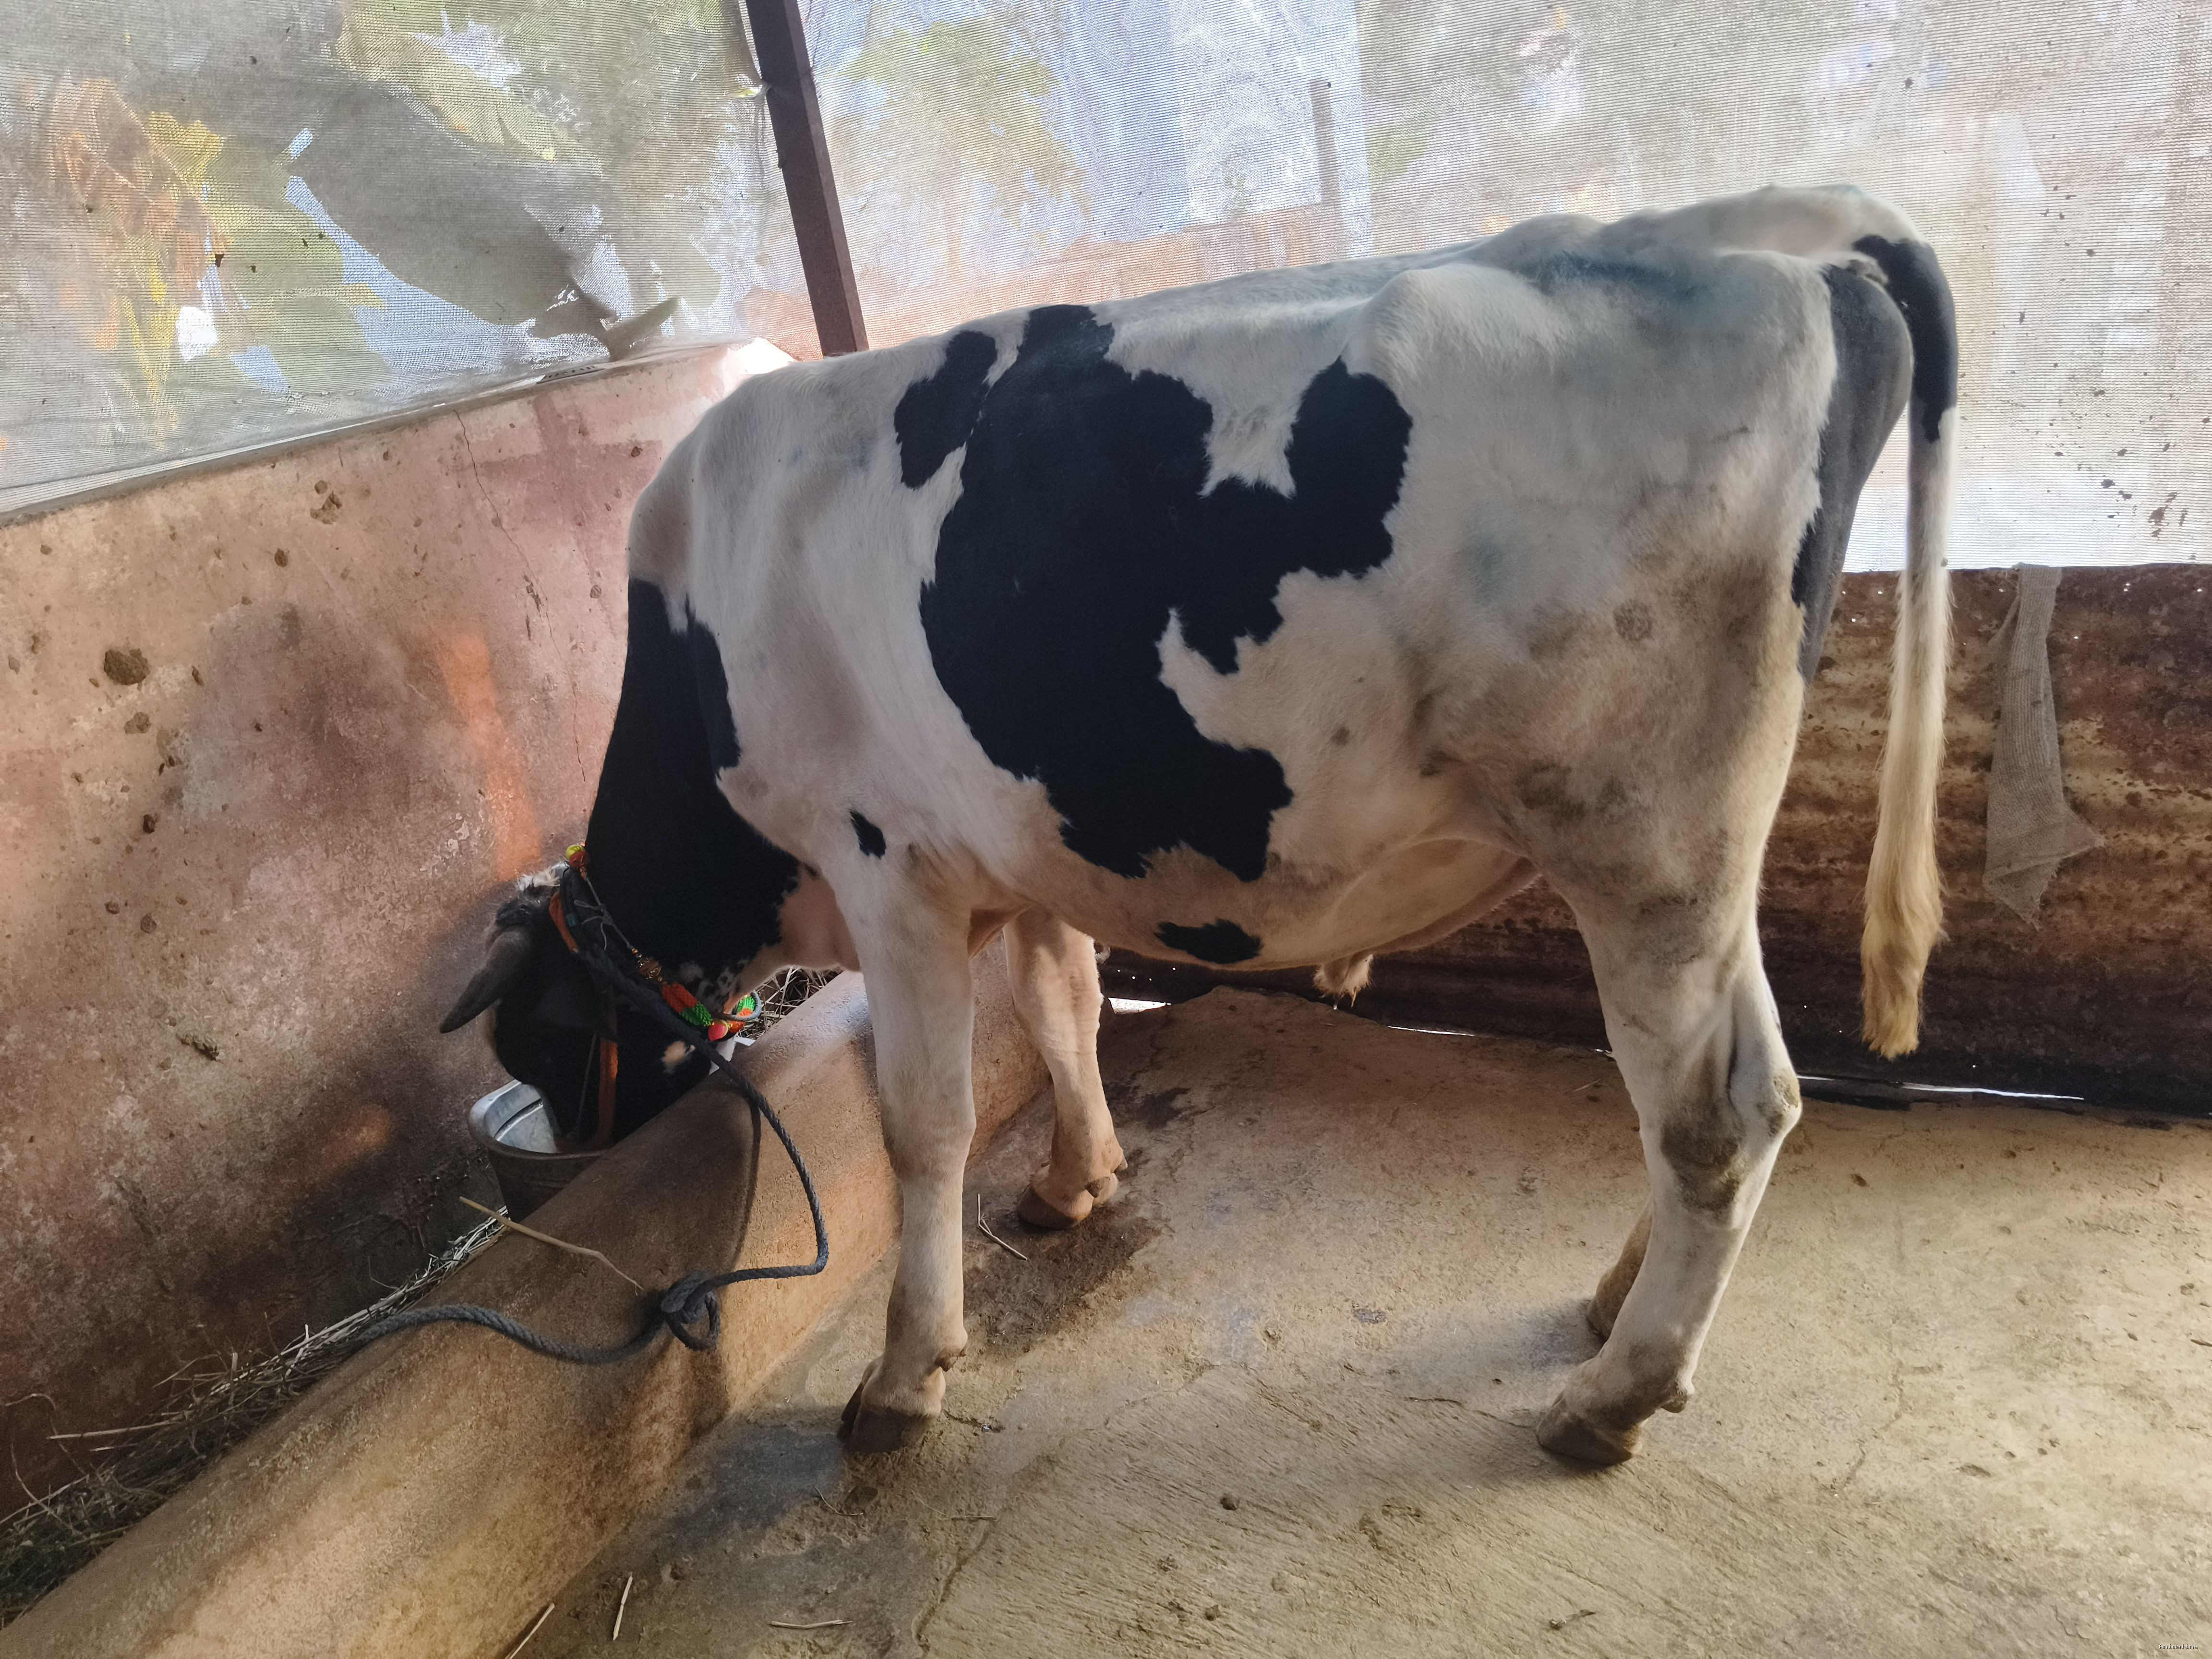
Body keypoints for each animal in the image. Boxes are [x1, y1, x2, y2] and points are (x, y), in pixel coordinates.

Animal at [441, 185, 1955, 1466]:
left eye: (545, 1044)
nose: (563, 1181)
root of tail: (1770, 232)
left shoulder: (890, 863)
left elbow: (923, 1124)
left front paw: (906, 1370)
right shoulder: (1018, 843)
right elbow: (1063, 1004)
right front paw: (1076, 1181)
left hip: (1641, 843)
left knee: (1719, 1112)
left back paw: (1612, 1395)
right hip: (1697, 860)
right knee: (1725, 1088)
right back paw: (1620, 1305)